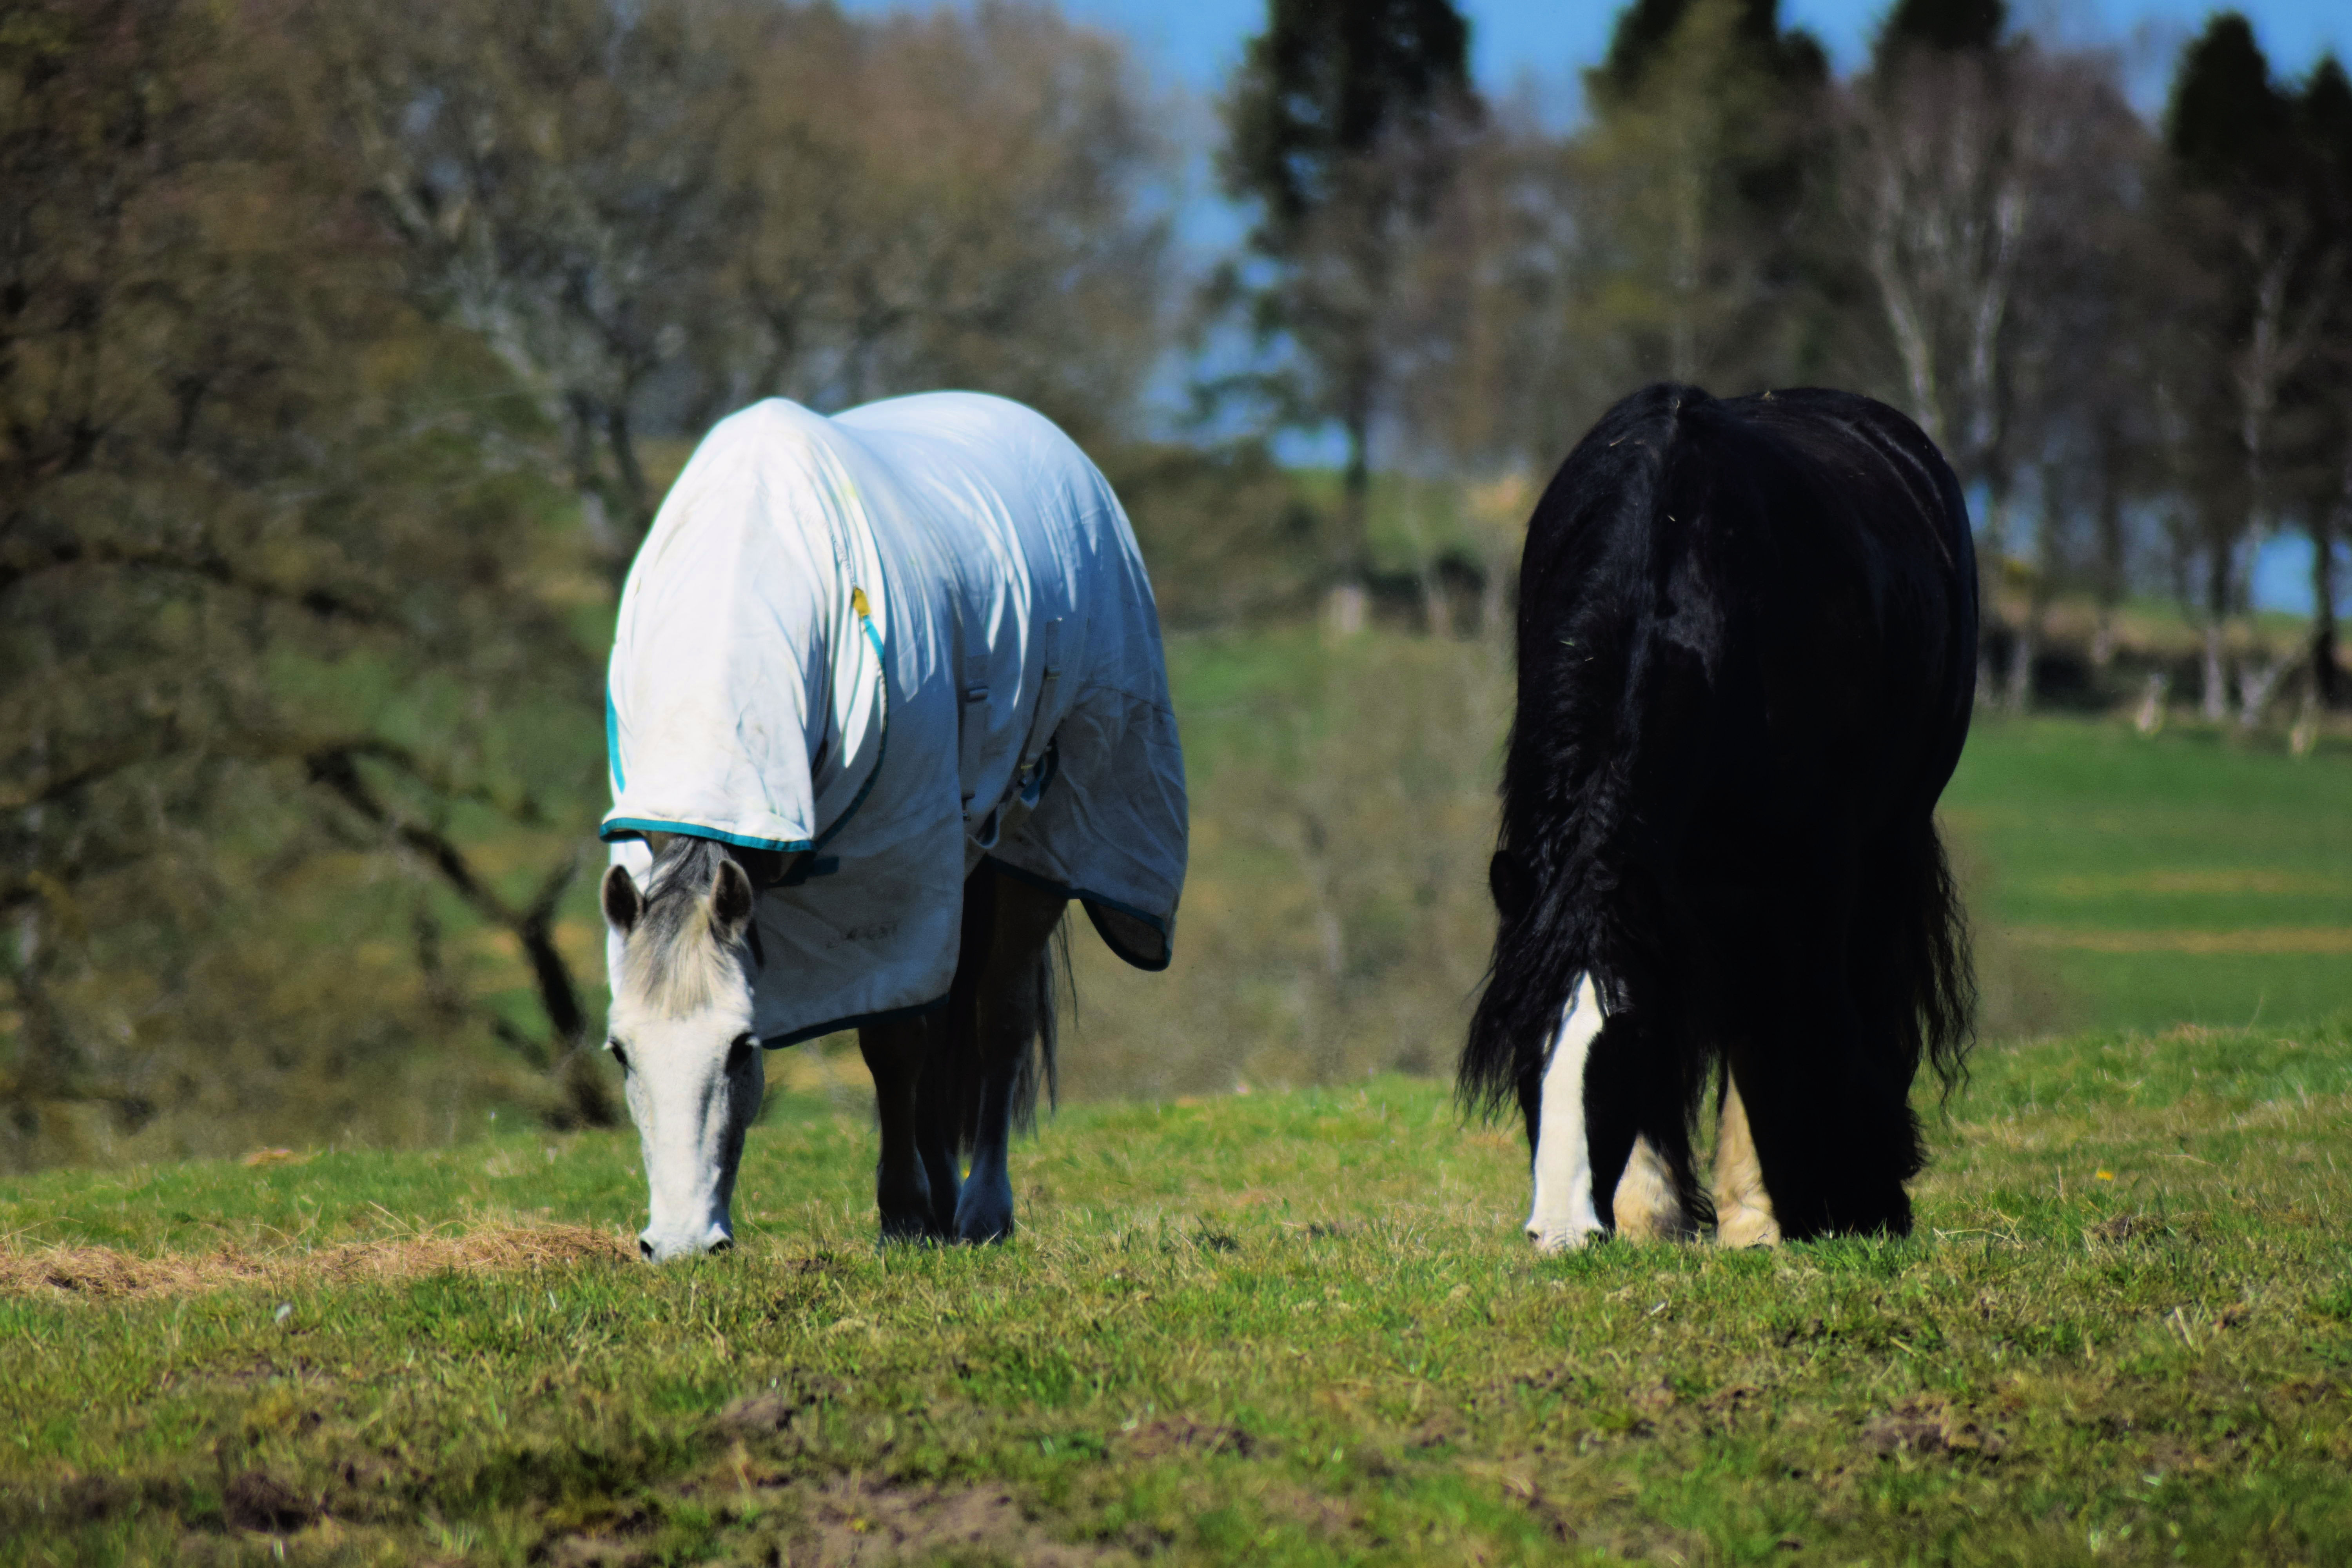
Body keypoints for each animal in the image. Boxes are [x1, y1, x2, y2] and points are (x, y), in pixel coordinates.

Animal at [597, 393, 1186, 1261]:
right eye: (621, 1052)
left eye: (742, 1047)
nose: (678, 1244)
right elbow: (910, 1035)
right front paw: (914, 1208)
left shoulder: (893, 870)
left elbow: (895, 1043)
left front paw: (905, 1212)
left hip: (1031, 849)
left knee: (997, 1018)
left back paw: (980, 1209)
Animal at [1462, 383, 1976, 1250]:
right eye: (1522, 1041)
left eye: (1625, 1040)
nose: (1561, 1230)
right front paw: (1650, 1211)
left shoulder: (1805, 873)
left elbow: (1775, 1020)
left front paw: (1759, 1215)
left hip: (1885, 845)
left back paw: (1868, 1188)